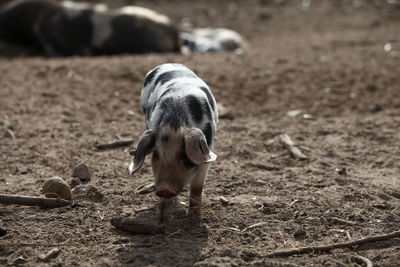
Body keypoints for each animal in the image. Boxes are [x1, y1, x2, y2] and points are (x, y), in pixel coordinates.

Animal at [129, 63, 217, 225]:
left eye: (185, 157)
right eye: (156, 155)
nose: (165, 188)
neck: (174, 123)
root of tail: (167, 63)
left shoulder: (208, 151)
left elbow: (197, 187)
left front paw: (194, 220)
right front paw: (162, 221)